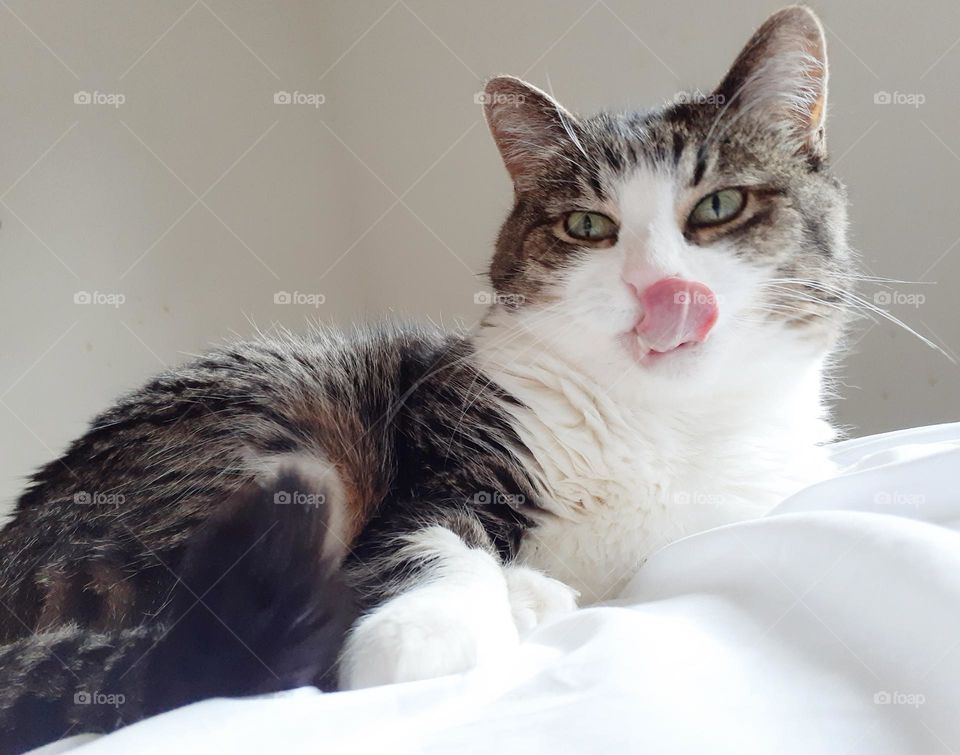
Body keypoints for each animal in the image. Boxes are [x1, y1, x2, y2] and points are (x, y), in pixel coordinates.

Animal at [1, 4, 856, 752]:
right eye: (587, 225)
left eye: (718, 205)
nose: (659, 288)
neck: (659, 422)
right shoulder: (448, 447)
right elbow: (432, 534)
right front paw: (430, 633)